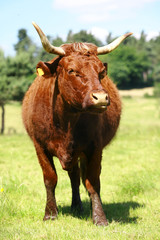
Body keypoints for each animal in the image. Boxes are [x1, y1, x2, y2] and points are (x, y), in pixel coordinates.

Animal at [21, 21, 132, 226]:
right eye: (71, 70)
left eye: (101, 72)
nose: (101, 97)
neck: (66, 122)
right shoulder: (39, 146)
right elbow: (50, 178)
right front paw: (50, 213)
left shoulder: (94, 147)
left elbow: (92, 181)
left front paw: (99, 217)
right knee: (73, 176)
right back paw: (75, 205)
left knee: (78, 177)